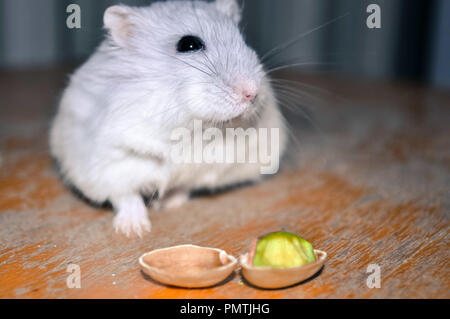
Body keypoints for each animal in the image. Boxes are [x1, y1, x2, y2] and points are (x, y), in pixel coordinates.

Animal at [50, 0, 288, 238]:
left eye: (244, 41)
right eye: (189, 44)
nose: (252, 93)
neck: (192, 126)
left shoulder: (204, 167)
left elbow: (183, 186)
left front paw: (167, 204)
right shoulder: (110, 164)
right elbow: (126, 196)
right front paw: (135, 231)